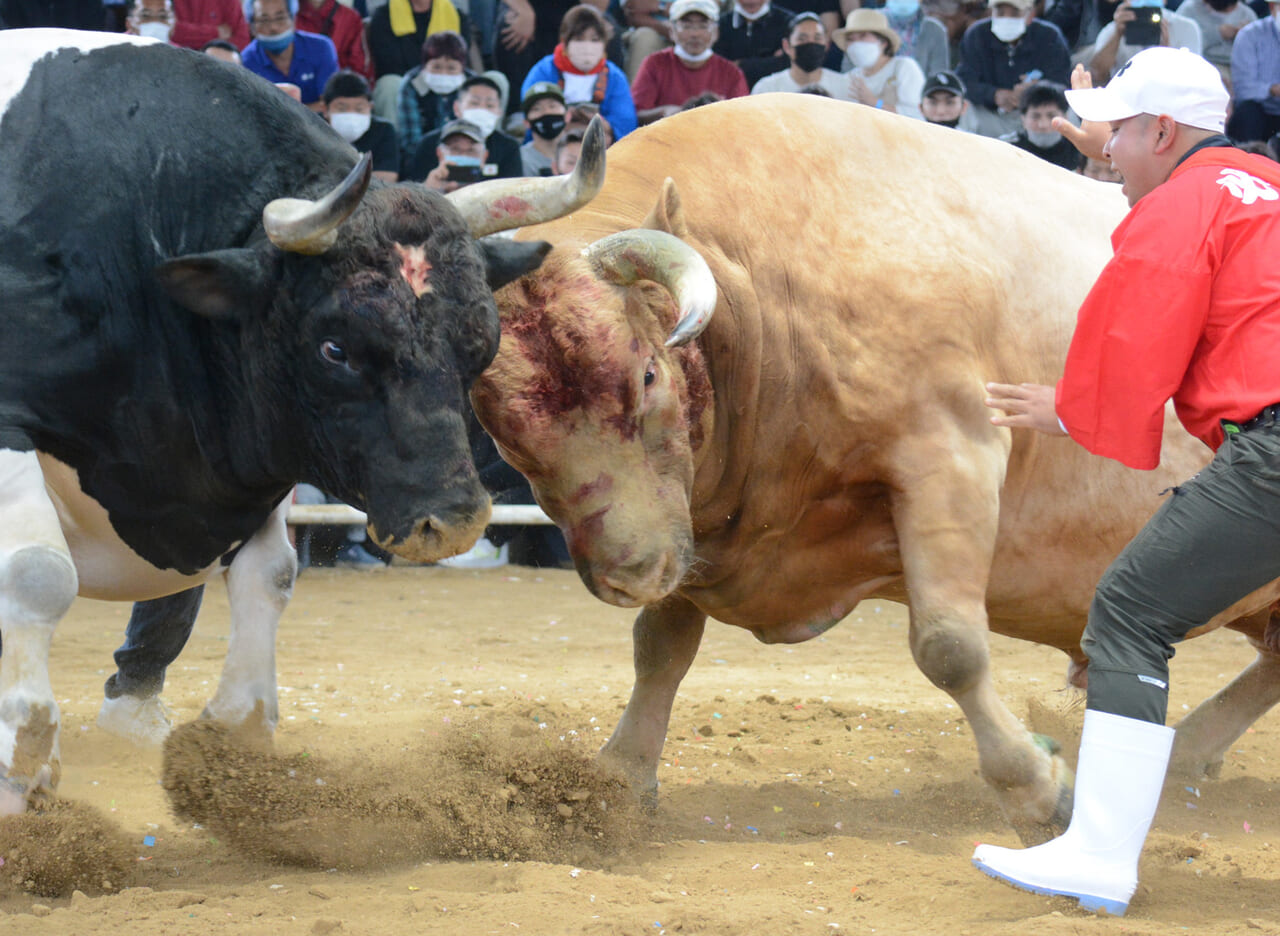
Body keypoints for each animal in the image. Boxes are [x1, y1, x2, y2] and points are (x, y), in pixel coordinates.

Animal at [0, 31, 606, 814]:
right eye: (335, 348)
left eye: (483, 341)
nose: (451, 520)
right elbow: (38, 574)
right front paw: (23, 765)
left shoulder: (250, 464)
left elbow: (272, 575)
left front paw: (233, 734)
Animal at [471, 95, 1280, 839]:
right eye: (502, 426)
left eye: (646, 374)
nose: (629, 573)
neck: (769, 286)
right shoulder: (691, 518)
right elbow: (660, 648)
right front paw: (618, 779)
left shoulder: (950, 456)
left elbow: (950, 648)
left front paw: (1038, 790)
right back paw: (1185, 753)